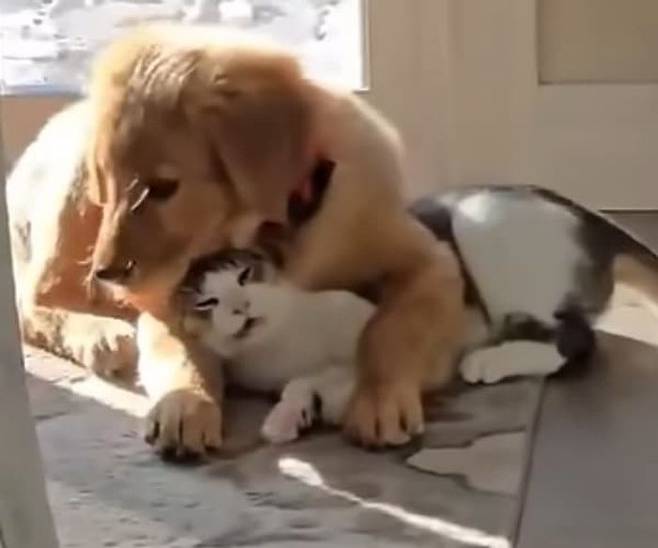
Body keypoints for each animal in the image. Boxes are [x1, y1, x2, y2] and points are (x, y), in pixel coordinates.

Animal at [179, 185, 658, 444]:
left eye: (245, 274)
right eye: (206, 302)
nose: (240, 307)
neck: (280, 345)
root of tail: (588, 213)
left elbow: (366, 361)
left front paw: (333, 402)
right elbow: (300, 385)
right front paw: (289, 417)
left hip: (480, 227)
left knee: (576, 339)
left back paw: (488, 360)